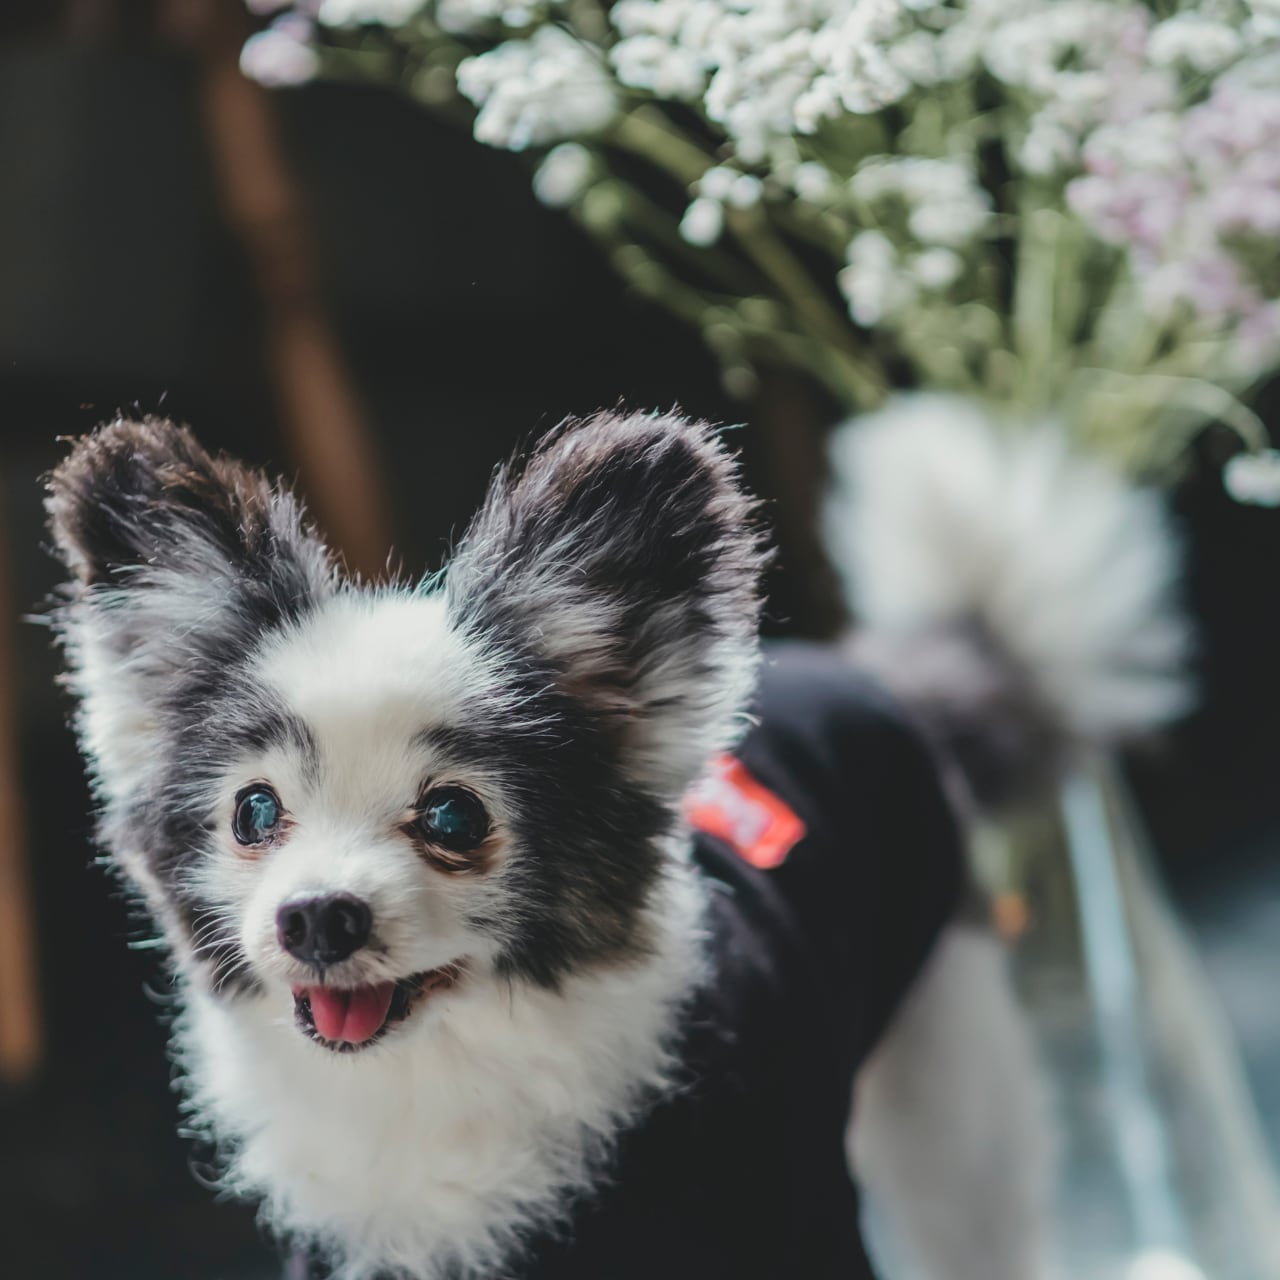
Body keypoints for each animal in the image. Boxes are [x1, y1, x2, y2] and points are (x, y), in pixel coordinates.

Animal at [44, 407, 1134, 1280]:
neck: (443, 1073)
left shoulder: (797, 1217)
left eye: (453, 818)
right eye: (255, 814)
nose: (315, 917)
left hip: (947, 1067)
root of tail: (868, 671)